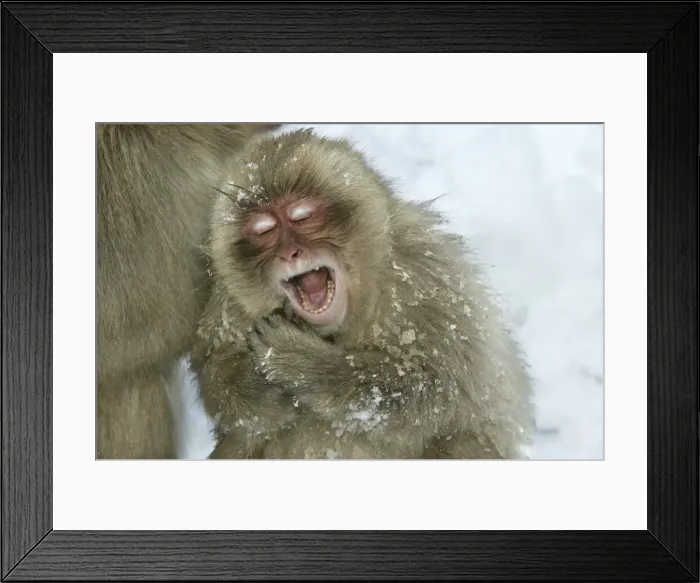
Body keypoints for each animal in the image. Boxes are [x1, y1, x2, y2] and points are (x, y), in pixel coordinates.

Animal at [190, 128, 535, 459]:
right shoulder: (227, 303)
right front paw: (258, 388)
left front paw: (301, 363)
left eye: (302, 216)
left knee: (459, 442)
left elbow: (437, 388)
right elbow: (217, 379)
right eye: (264, 230)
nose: (289, 253)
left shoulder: (427, 275)